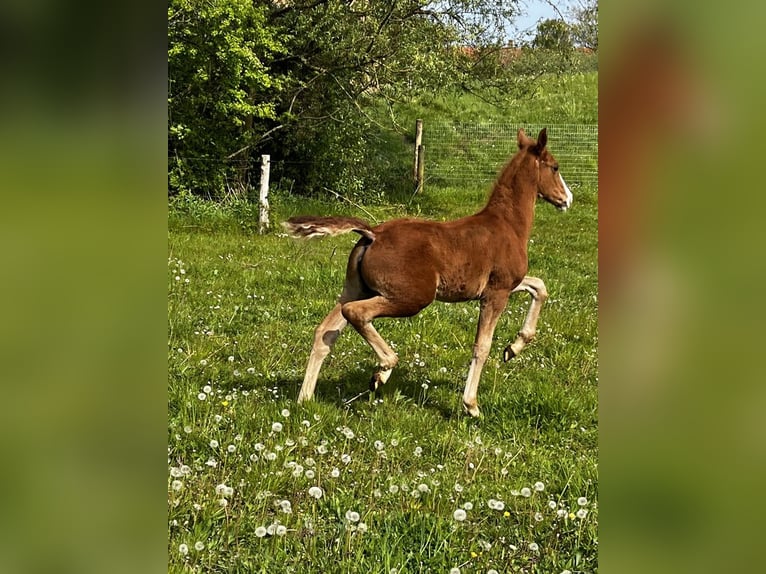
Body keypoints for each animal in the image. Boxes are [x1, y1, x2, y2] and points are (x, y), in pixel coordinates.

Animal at [284, 129, 572, 418]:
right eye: (555, 167)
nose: (567, 199)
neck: (508, 225)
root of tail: (373, 234)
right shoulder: (497, 292)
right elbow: (482, 346)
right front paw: (471, 405)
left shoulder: (506, 284)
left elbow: (540, 287)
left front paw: (513, 348)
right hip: (412, 297)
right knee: (355, 313)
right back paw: (382, 371)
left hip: (356, 288)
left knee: (325, 332)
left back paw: (304, 400)